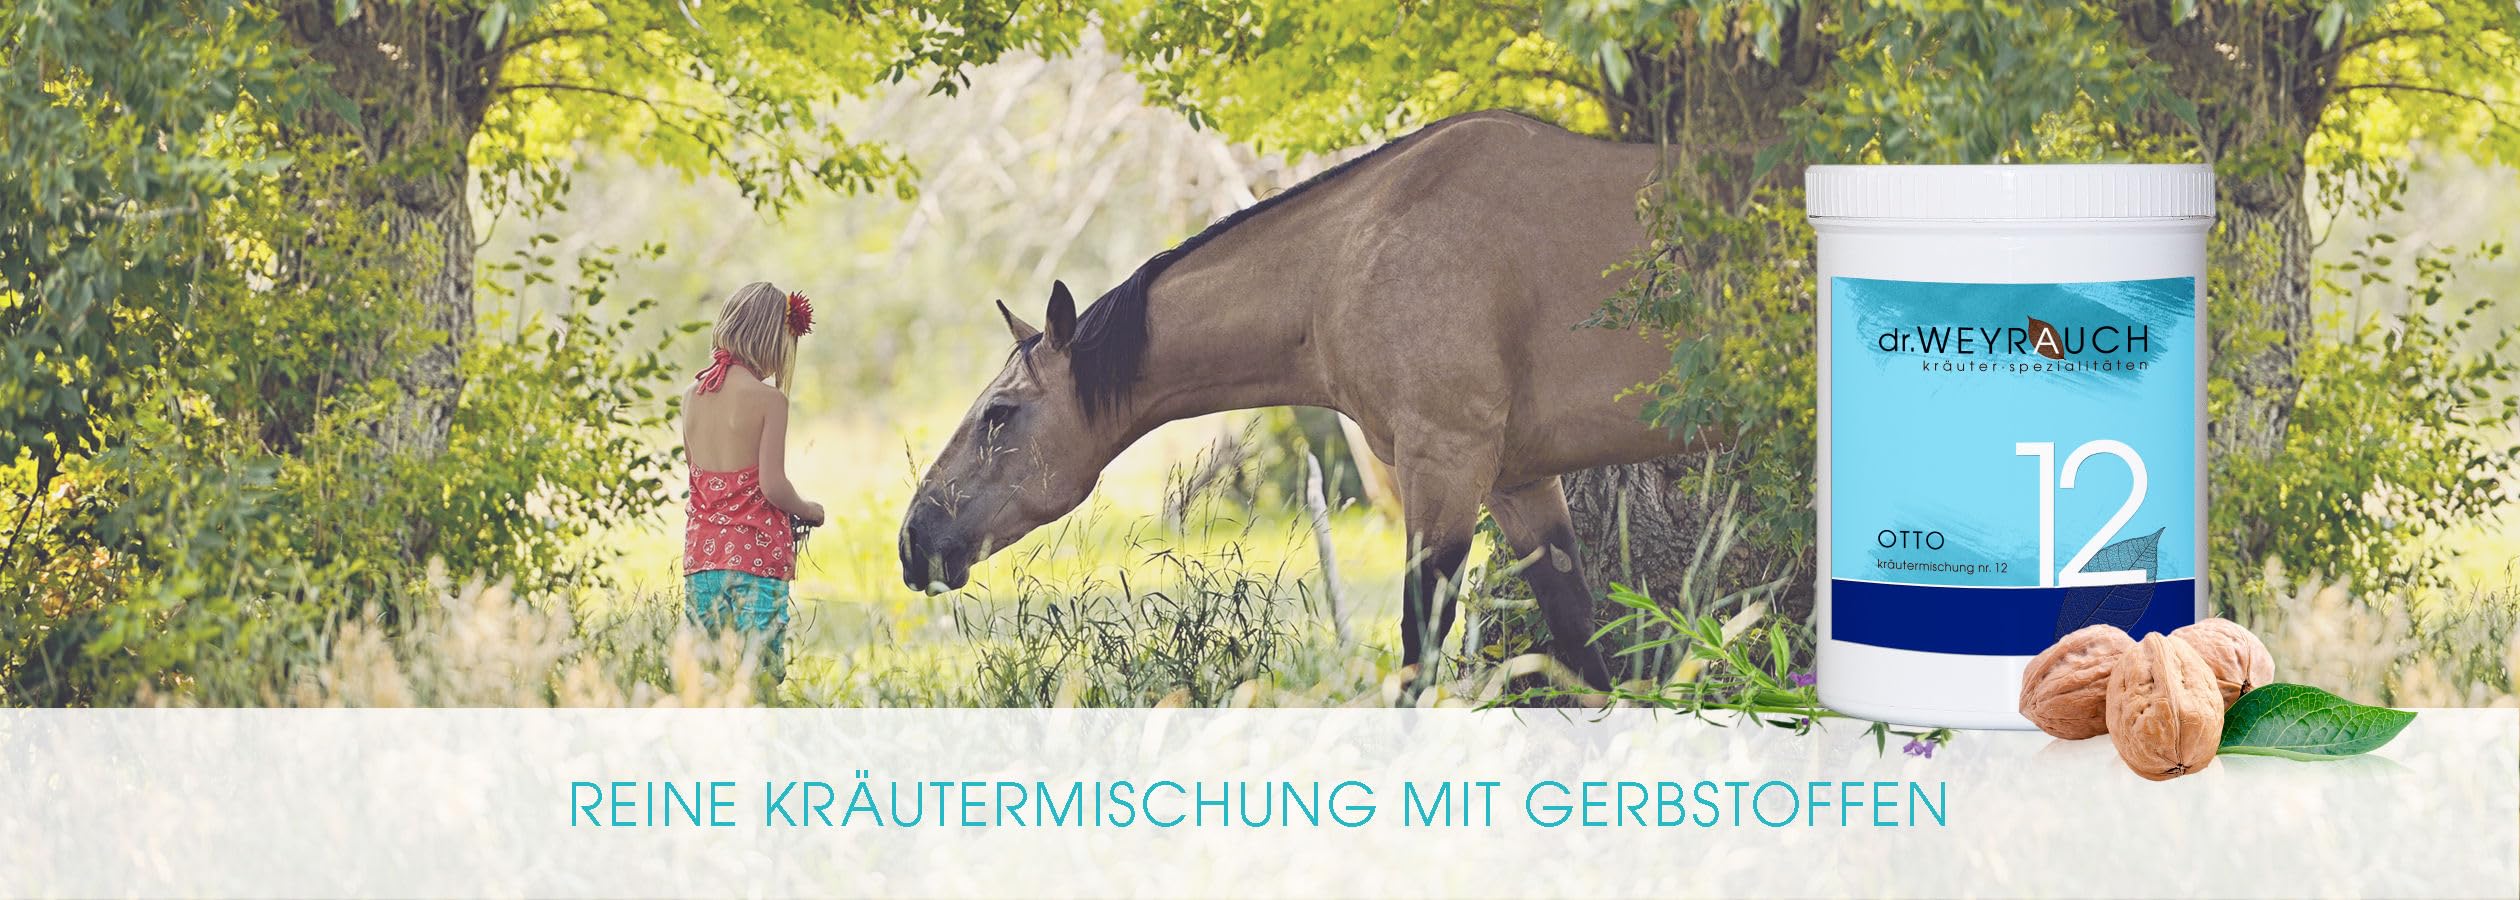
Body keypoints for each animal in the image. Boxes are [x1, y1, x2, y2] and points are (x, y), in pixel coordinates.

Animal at [897, 110, 1693, 690]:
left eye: (1000, 414)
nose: (913, 540)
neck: (1352, 258)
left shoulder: (1444, 465)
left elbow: (1419, 652)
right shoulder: (1517, 483)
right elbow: (1581, 647)